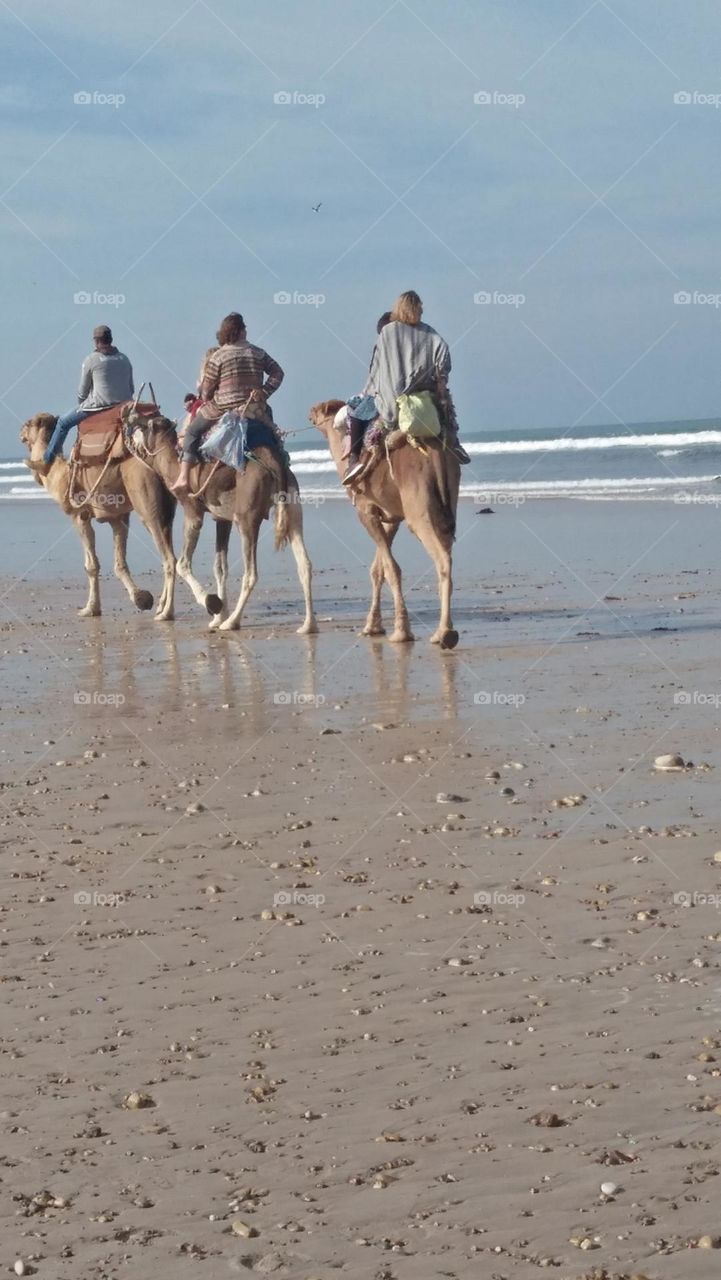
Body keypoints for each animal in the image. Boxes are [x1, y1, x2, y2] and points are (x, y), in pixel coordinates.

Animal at [20, 412, 177, 620]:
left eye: (27, 425)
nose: (20, 433)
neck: (57, 472)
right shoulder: (118, 517)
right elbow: (119, 563)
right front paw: (142, 598)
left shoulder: (79, 515)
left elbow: (91, 565)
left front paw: (90, 609)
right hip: (167, 508)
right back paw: (161, 606)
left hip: (147, 503)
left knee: (169, 558)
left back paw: (166, 612)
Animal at [124, 409, 317, 634]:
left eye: (145, 425)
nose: (129, 422)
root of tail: (274, 463)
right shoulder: (222, 519)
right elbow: (220, 568)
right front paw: (217, 615)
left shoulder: (192, 511)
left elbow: (182, 564)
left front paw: (210, 604)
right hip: (293, 507)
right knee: (304, 564)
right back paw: (308, 625)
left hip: (247, 517)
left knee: (251, 573)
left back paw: (232, 622)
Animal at [309, 400, 460, 648]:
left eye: (319, 409)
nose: (309, 413)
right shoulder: (391, 517)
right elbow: (378, 569)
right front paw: (372, 627)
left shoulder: (366, 512)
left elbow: (391, 568)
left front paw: (400, 632)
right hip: (448, 500)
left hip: (419, 511)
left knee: (442, 558)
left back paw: (444, 633)